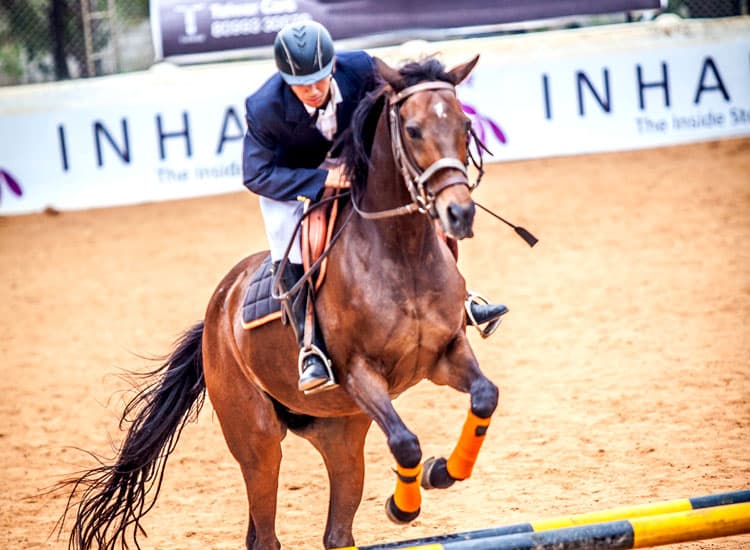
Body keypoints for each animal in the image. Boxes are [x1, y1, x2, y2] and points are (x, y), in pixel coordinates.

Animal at [61, 54, 499, 550]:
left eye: (465, 124)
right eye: (412, 129)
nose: (459, 214)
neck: (399, 250)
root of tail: (217, 312)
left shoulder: (445, 353)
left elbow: (485, 396)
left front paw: (442, 472)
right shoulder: (359, 373)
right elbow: (406, 442)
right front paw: (403, 506)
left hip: (341, 431)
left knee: (335, 532)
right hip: (258, 441)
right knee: (266, 530)